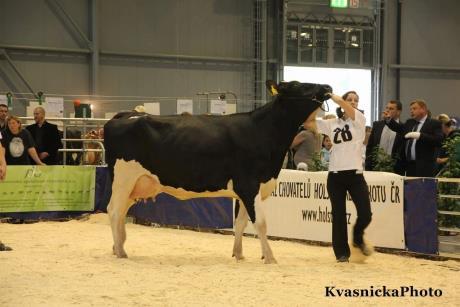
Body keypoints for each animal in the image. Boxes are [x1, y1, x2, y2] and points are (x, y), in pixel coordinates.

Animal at [104, 81, 330, 264]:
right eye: (299, 85)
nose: (327, 86)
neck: (263, 130)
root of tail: (126, 115)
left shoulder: (246, 191)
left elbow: (240, 224)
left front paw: (239, 255)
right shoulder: (249, 185)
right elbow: (261, 223)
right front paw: (270, 258)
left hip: (136, 184)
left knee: (121, 212)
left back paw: (117, 247)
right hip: (123, 179)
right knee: (113, 211)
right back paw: (121, 252)